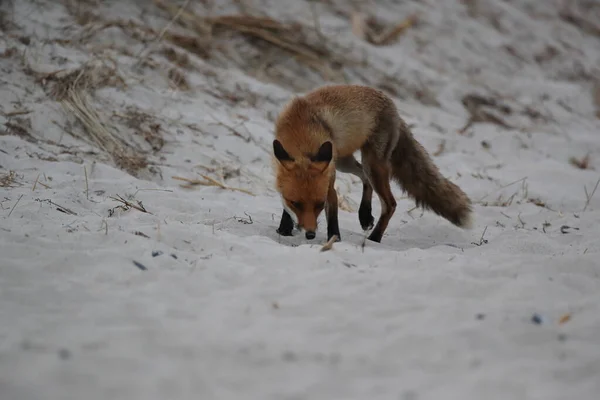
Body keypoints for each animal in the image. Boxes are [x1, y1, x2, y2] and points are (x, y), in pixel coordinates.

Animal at [272, 83, 474, 244]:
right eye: (296, 203)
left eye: (319, 205)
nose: (310, 234)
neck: (302, 134)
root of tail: (394, 108)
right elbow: (284, 204)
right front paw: (284, 229)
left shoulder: (329, 185)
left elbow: (333, 215)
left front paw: (334, 239)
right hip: (344, 162)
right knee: (363, 177)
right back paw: (365, 215)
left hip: (372, 164)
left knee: (390, 203)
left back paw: (374, 237)